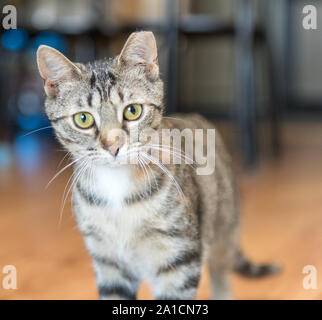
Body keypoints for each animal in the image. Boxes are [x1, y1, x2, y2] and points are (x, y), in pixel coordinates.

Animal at [36, 31, 278, 298]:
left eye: (133, 111)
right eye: (83, 119)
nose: (113, 145)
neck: (117, 186)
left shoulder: (179, 257)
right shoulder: (108, 260)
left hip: (223, 227)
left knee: (221, 273)